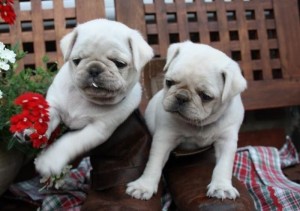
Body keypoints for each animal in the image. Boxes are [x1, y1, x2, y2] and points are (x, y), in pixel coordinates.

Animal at [33, 18, 154, 176]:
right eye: (76, 60)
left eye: (119, 63)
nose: (94, 69)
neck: (85, 98)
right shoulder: (54, 104)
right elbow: (45, 116)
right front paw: (31, 129)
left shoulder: (97, 129)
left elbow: (70, 141)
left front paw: (50, 160)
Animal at [126, 40, 246, 199]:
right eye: (169, 82)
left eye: (206, 96)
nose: (181, 96)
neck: (198, 124)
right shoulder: (164, 138)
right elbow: (154, 163)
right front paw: (144, 186)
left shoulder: (226, 140)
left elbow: (224, 165)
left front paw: (222, 187)